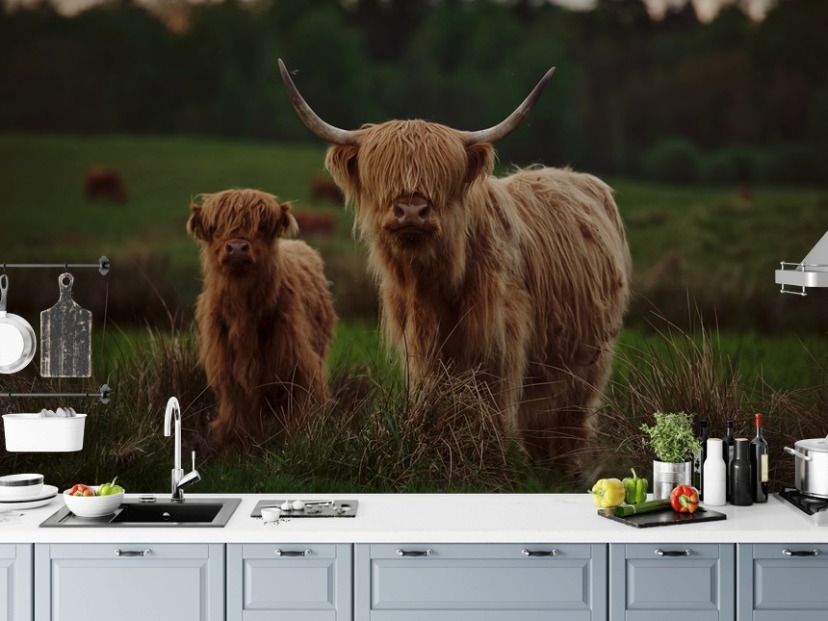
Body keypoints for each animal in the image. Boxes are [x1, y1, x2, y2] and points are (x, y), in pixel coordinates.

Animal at [187, 188, 337, 447]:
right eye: (216, 226)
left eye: (262, 226)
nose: (237, 247)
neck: (244, 313)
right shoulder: (226, 366)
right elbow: (236, 408)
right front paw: (235, 443)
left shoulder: (296, 362)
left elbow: (299, 404)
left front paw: (298, 439)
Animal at [278, 60, 631, 466]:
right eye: (383, 175)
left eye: (441, 176)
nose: (411, 211)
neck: (437, 286)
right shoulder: (420, 350)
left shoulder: (498, 349)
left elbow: (489, 410)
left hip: (585, 359)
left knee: (566, 422)